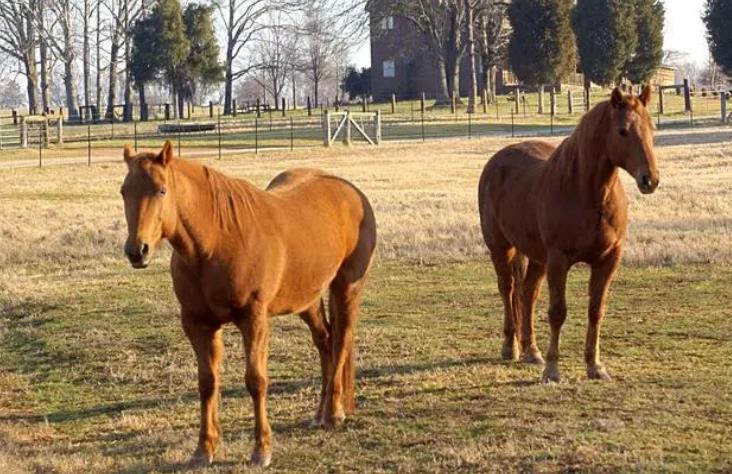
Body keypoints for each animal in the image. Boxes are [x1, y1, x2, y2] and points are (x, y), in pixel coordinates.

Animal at [120, 141, 378, 466]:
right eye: (124, 191)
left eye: (161, 190)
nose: (137, 251)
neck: (217, 241)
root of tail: (351, 192)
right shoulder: (198, 323)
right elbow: (207, 383)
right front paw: (204, 450)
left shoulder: (253, 319)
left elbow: (256, 380)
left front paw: (261, 450)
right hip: (307, 300)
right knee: (325, 342)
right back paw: (320, 414)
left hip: (347, 288)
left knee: (341, 341)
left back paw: (334, 413)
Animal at [480, 87, 656, 384]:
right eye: (622, 131)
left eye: (651, 127)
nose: (650, 180)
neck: (588, 193)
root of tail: (496, 160)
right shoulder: (559, 259)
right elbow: (557, 312)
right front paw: (552, 370)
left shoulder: (608, 259)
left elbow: (596, 310)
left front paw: (595, 366)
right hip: (501, 248)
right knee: (508, 290)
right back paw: (510, 347)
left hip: (537, 257)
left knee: (527, 293)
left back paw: (531, 350)